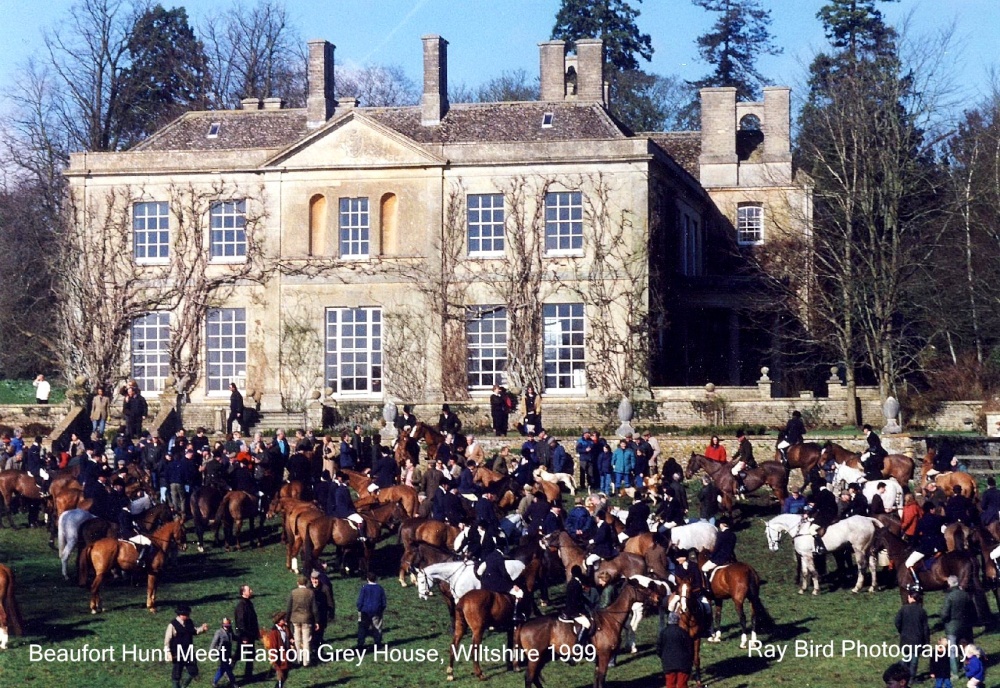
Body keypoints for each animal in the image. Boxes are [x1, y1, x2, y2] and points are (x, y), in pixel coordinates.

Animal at [516, 576, 664, 688]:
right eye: (642, 588)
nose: (657, 598)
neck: (611, 619)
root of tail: (525, 623)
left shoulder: (599, 657)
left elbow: (596, 677)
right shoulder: (604, 654)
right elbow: (602, 677)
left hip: (543, 656)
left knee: (534, 677)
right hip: (535, 657)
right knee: (529, 678)